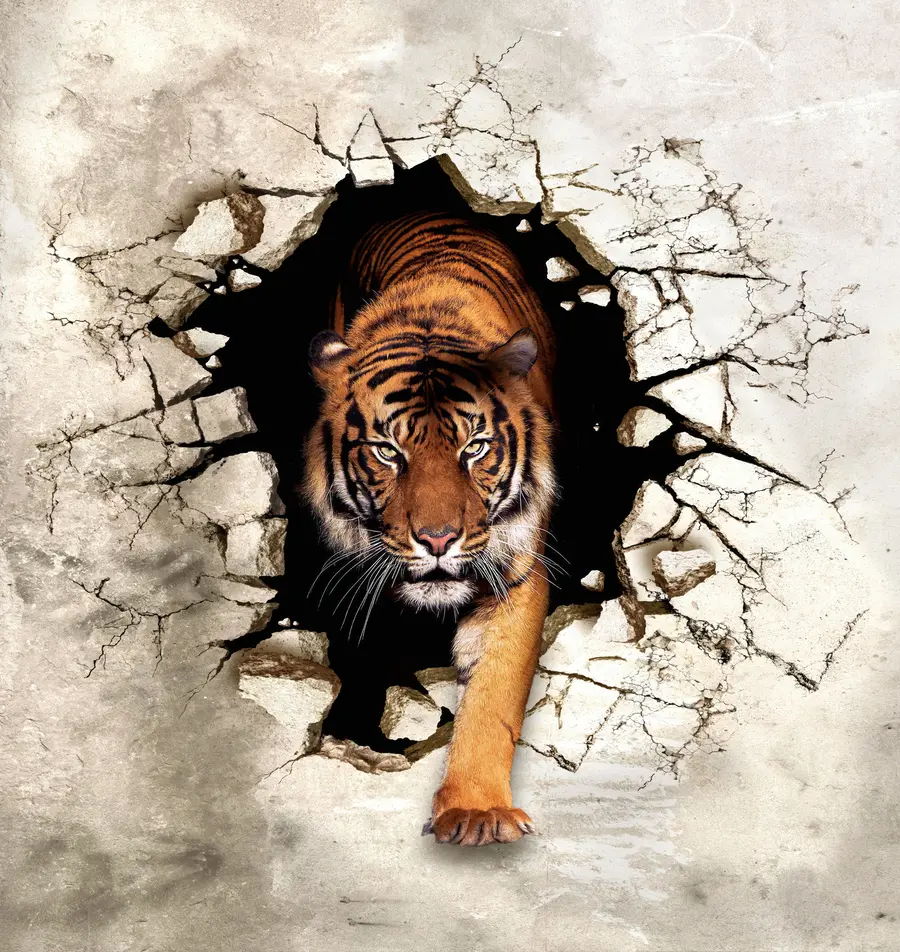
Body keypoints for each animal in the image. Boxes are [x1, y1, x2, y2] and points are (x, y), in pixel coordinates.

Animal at [303, 210, 558, 846]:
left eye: (476, 448)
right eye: (387, 452)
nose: (439, 540)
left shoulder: (516, 575)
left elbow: (494, 696)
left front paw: (477, 810)